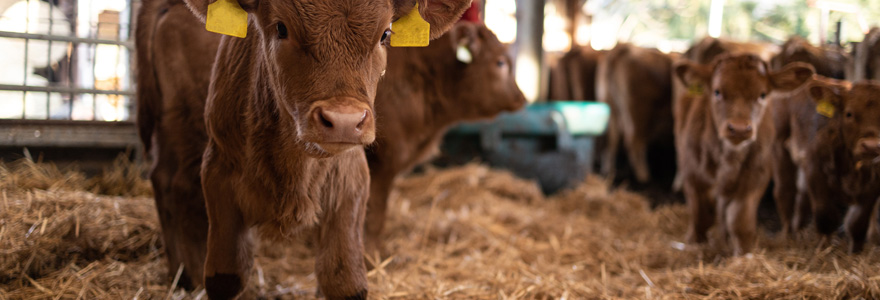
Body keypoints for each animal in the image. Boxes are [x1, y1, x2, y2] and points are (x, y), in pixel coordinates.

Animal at [136, 0, 474, 298]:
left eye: (385, 34)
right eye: (281, 28)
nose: (344, 120)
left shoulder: (353, 181)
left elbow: (345, 280)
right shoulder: (218, 172)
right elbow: (225, 278)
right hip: (182, 125)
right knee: (176, 185)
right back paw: (187, 275)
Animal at [596, 42, 676, 183]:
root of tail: (623, 48)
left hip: (611, 108)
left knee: (612, 139)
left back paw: (608, 172)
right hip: (639, 111)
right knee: (634, 141)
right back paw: (643, 176)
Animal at [672, 54, 812, 255]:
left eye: (762, 94)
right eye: (717, 92)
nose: (739, 129)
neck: (729, 158)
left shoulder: (756, 177)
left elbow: (740, 221)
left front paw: (743, 255)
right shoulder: (692, 174)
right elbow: (701, 216)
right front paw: (694, 243)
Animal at [776, 78, 880, 252]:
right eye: (849, 113)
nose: (871, 146)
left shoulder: (873, 183)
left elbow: (858, 222)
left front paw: (855, 253)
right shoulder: (815, 170)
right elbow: (826, 215)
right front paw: (823, 250)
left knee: (802, 198)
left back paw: (799, 234)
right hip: (780, 150)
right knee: (785, 193)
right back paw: (787, 237)